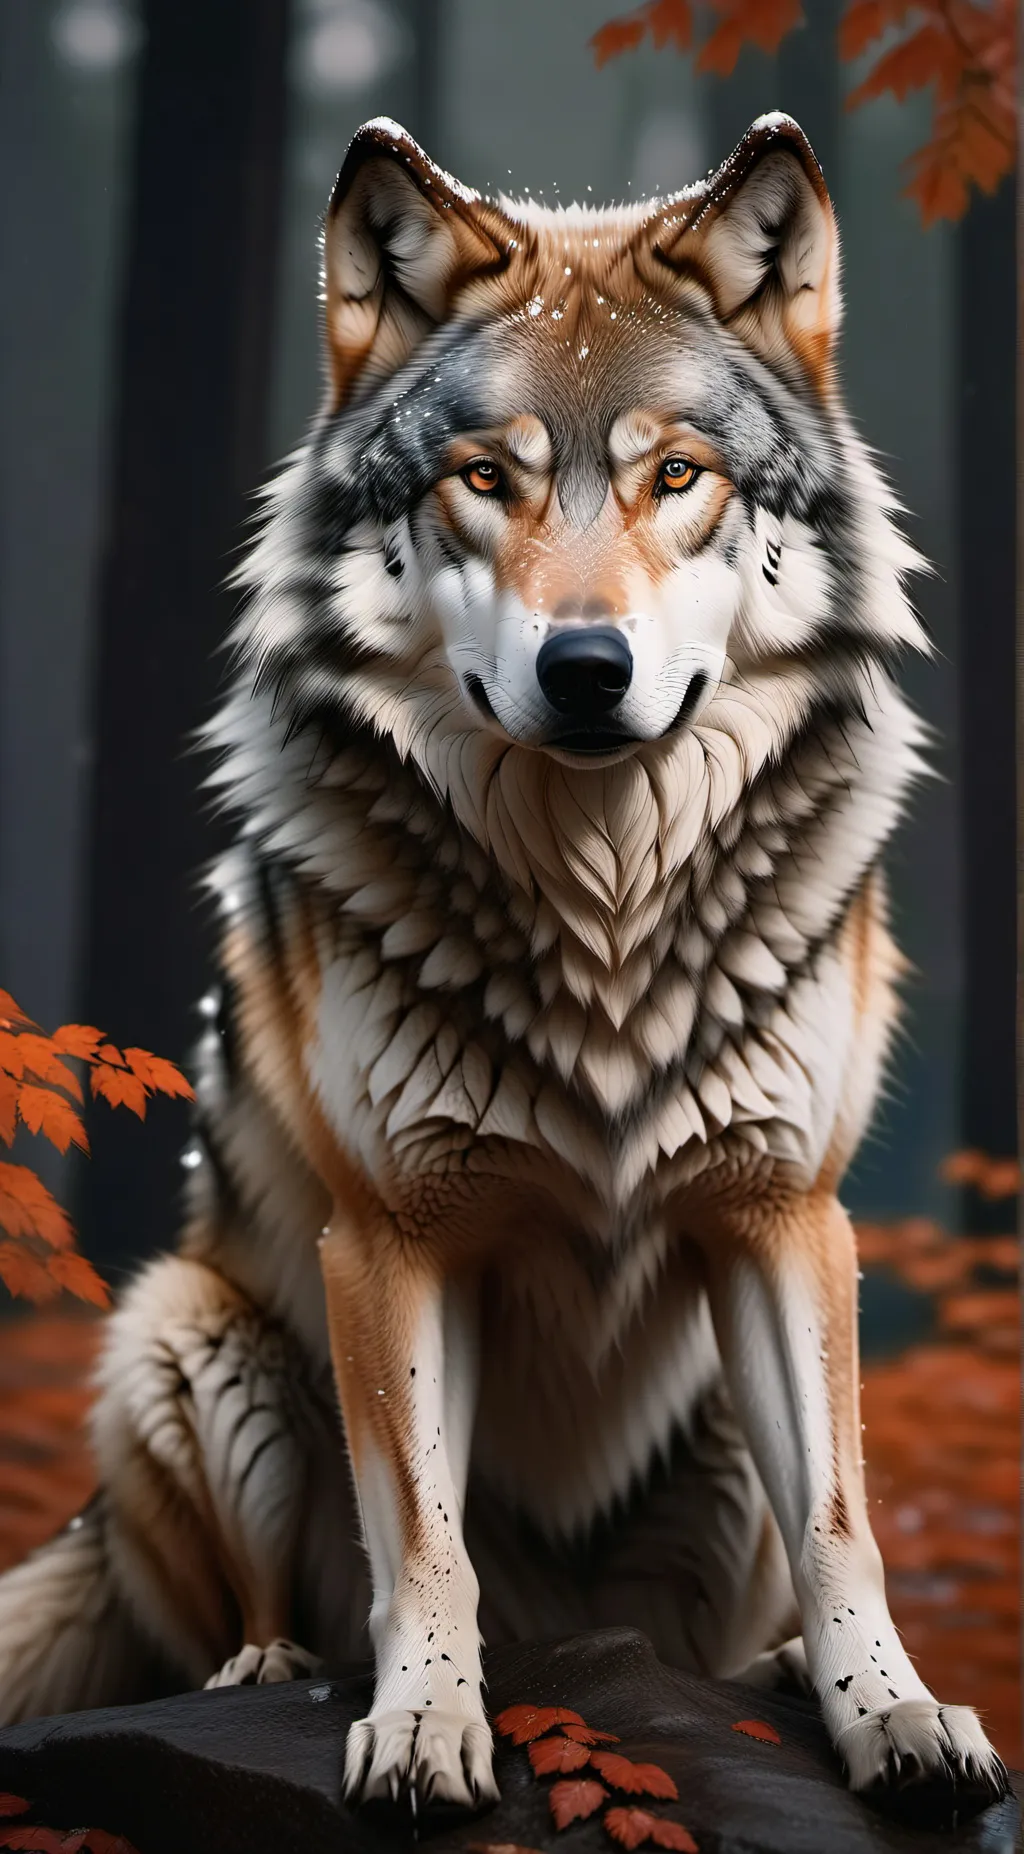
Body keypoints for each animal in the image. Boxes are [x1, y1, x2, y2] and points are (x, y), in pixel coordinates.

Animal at [0, 113, 1007, 1823]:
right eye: (487, 479)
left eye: (678, 475)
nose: (586, 668)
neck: (600, 897)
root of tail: (585, 1638)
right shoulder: (391, 1237)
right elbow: (425, 1537)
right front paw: (421, 1725)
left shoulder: (786, 1214)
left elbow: (847, 1528)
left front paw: (897, 1714)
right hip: (184, 1332)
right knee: (258, 1607)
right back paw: (268, 1670)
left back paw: (764, 1673)